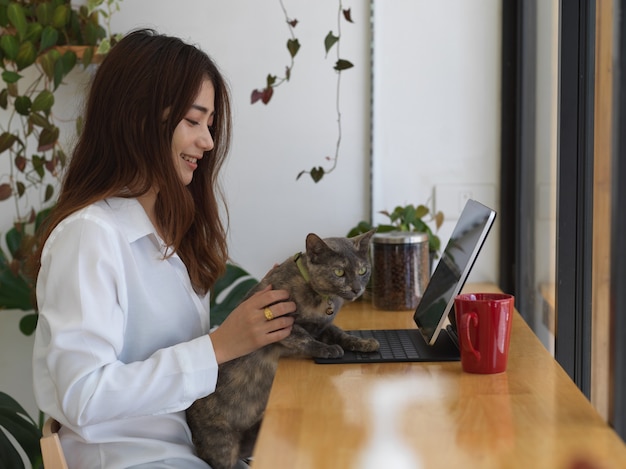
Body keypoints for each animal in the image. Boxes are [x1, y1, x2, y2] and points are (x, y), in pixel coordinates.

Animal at [185, 229, 378, 466]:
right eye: (339, 272)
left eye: (362, 270)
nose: (357, 289)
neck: (322, 299)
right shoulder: (281, 323)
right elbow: (304, 337)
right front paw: (328, 350)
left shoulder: (323, 326)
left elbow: (340, 334)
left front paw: (365, 343)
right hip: (222, 446)